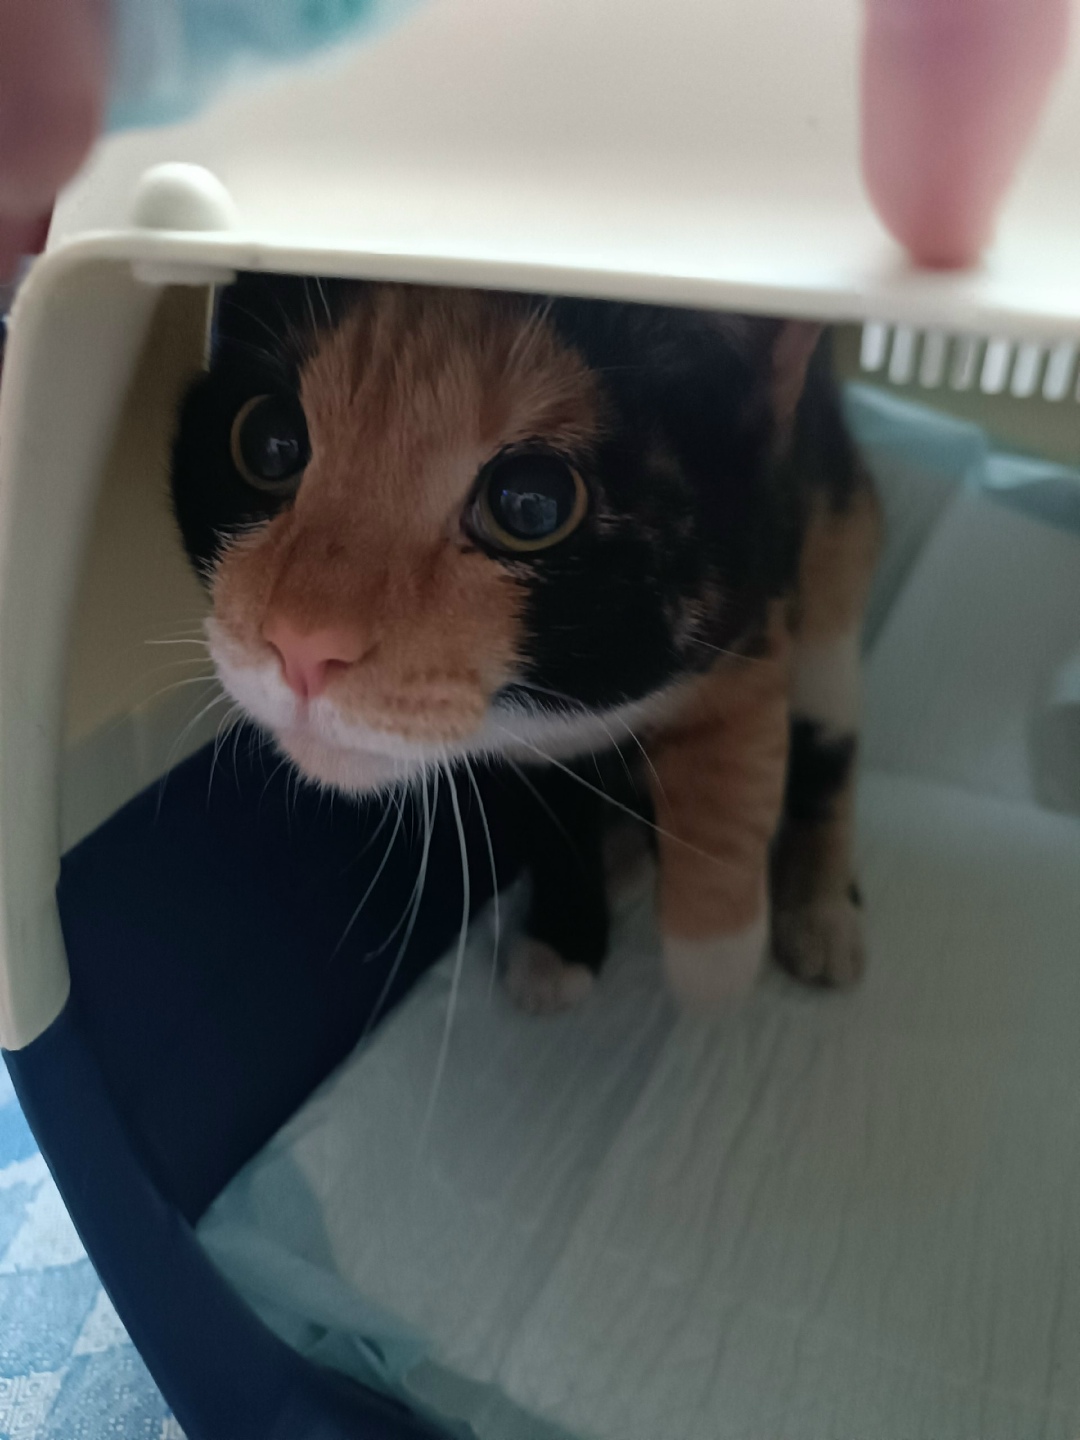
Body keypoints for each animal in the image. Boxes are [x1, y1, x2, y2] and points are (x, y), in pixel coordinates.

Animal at [170, 274, 881, 1012]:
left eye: (531, 504)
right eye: (268, 443)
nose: (303, 646)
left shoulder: (761, 576)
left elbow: (742, 735)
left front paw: (717, 941)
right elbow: (553, 813)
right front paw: (565, 935)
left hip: (838, 537)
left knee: (829, 732)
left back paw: (823, 910)